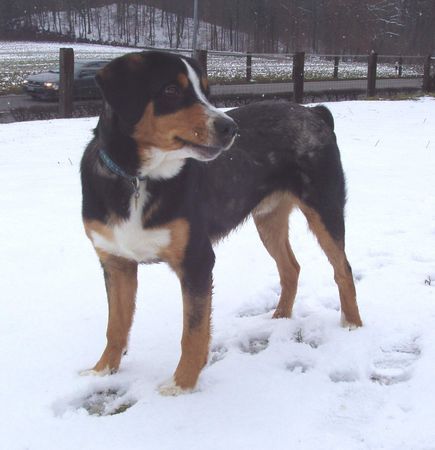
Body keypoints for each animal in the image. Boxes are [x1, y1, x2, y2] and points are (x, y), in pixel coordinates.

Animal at [80, 50, 362, 394]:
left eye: (205, 90)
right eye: (171, 90)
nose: (230, 127)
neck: (139, 179)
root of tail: (315, 112)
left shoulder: (197, 260)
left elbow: (193, 332)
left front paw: (181, 386)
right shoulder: (115, 261)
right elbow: (116, 326)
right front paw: (102, 371)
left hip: (324, 207)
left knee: (342, 268)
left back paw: (352, 326)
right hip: (268, 219)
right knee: (290, 268)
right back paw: (280, 318)